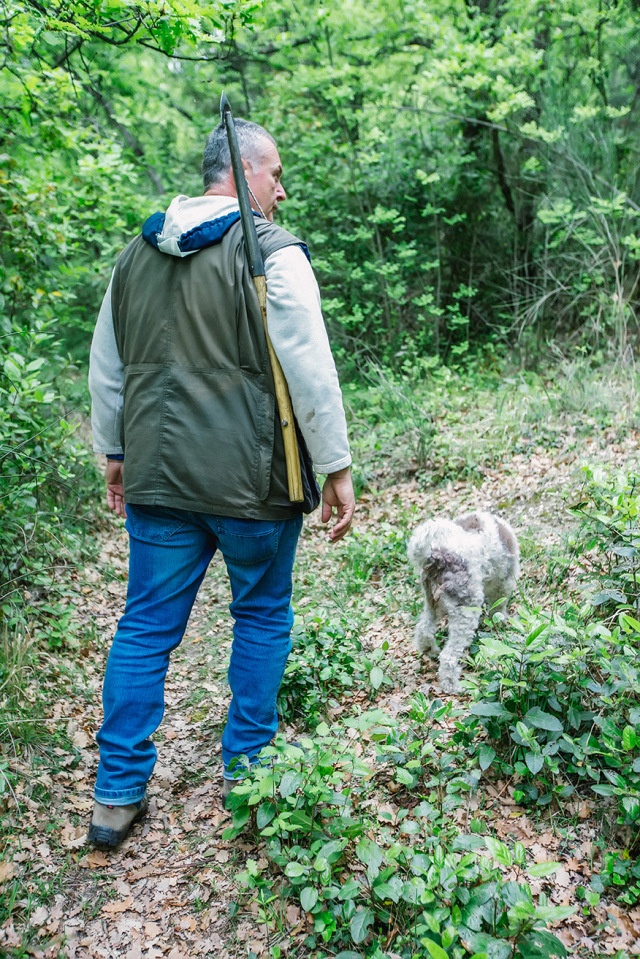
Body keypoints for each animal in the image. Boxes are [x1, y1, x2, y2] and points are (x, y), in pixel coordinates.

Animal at [410, 512, 520, 692]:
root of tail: (438, 558)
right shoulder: (504, 582)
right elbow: (499, 606)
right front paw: (501, 621)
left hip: (430, 603)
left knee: (424, 630)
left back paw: (429, 650)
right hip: (466, 613)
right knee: (448, 656)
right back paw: (452, 686)